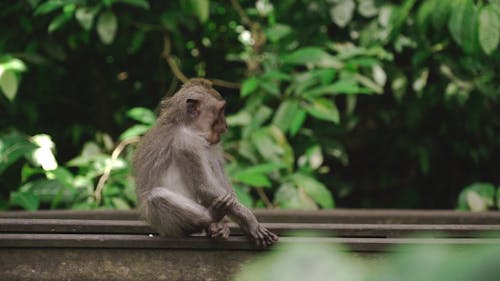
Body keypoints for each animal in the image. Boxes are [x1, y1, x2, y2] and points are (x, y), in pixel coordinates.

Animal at [133, 77, 280, 246]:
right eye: (221, 111)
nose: (226, 126)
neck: (188, 127)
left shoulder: (212, 143)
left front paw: (231, 224)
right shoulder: (186, 144)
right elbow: (204, 186)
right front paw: (250, 220)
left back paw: (217, 226)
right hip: (165, 224)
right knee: (156, 197)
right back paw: (212, 216)